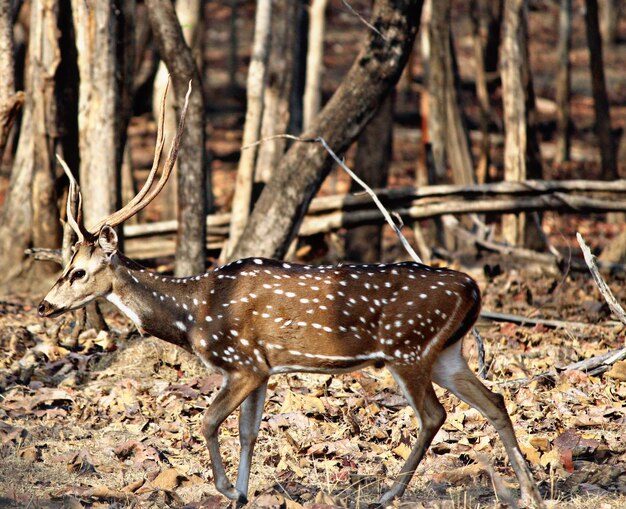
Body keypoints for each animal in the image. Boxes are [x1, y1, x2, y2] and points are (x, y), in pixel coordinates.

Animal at [37, 85, 540, 506]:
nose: (45, 305)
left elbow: (208, 420)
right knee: (495, 401)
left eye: (78, 271)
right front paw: (241, 494)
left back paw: (389, 494)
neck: (194, 313)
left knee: (434, 414)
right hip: (446, 352)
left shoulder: (242, 361)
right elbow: (248, 432)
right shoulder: (260, 369)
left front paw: (225, 488)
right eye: (64, 266)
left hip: (407, 348)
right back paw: (528, 491)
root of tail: (472, 287)